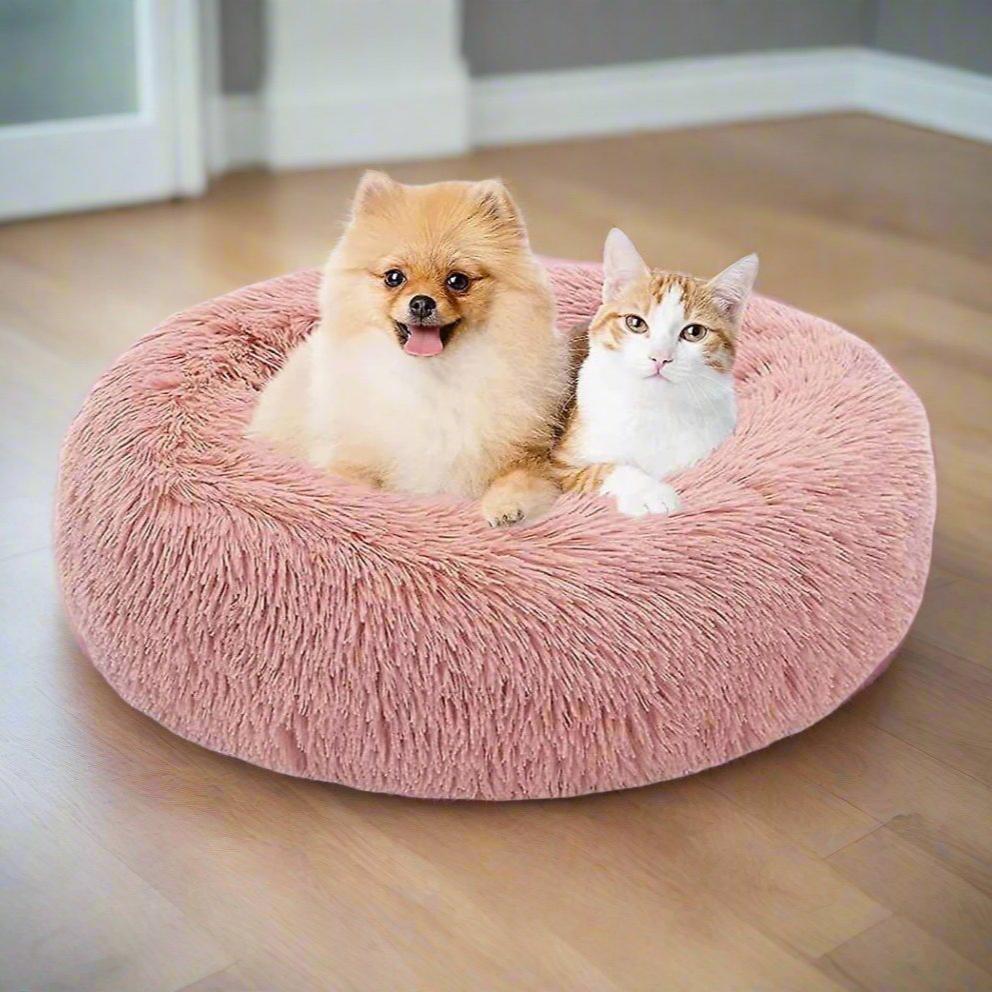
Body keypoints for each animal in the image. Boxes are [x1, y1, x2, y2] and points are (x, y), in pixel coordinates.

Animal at [248, 170, 568, 528]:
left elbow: (520, 476)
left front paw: (508, 507)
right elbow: (349, 478)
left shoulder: (528, 454)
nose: (421, 302)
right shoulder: (350, 453)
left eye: (458, 281)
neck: (432, 375)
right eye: (394, 277)